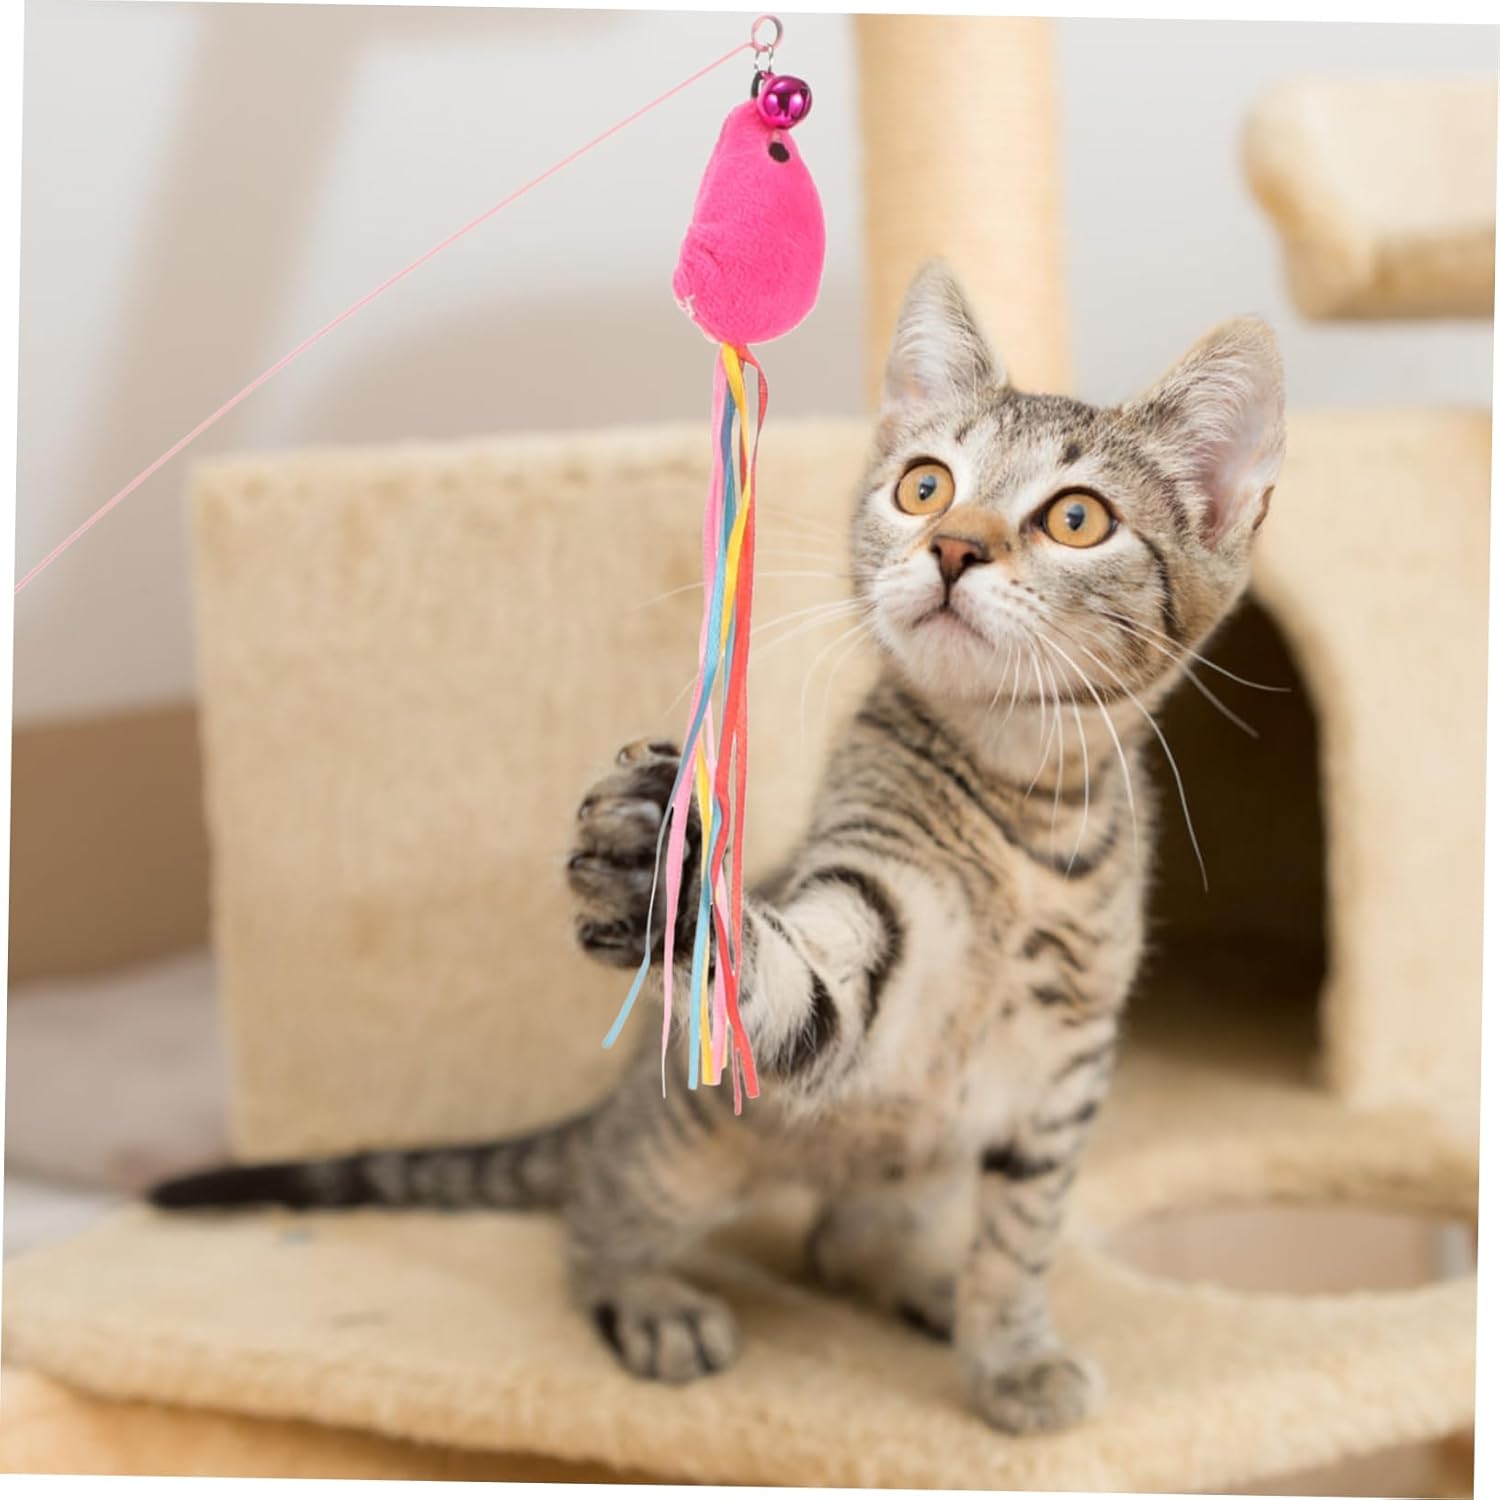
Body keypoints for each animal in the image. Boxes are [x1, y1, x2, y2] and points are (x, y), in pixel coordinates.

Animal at [150, 260, 1284, 1435]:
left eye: (1075, 517)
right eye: (925, 487)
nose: (954, 547)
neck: (1021, 807)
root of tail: (612, 1108)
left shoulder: (1066, 1066)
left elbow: (1021, 1240)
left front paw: (1008, 1351)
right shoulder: (868, 932)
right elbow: (794, 975)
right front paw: (671, 877)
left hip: (919, 1155)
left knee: (844, 1240)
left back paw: (928, 1287)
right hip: (684, 1140)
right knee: (593, 1224)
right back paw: (651, 1301)